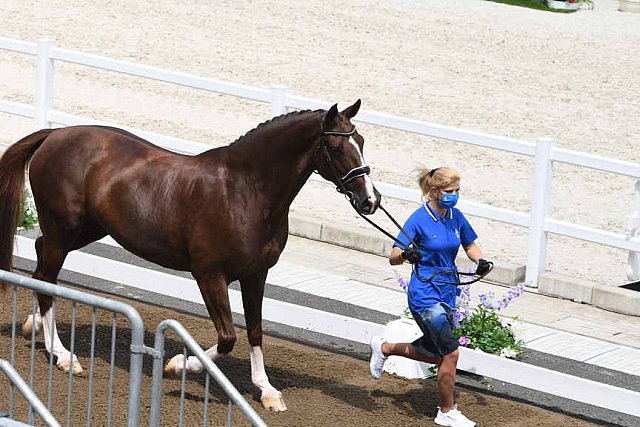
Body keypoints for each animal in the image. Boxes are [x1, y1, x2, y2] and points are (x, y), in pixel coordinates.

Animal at [0, 99, 380, 412]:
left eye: (361, 142)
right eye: (336, 147)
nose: (370, 201)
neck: (245, 191)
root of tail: (56, 134)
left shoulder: (256, 275)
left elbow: (255, 330)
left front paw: (268, 391)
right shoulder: (209, 275)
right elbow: (228, 337)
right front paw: (178, 365)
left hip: (85, 230)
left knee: (42, 268)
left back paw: (35, 327)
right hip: (64, 230)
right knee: (46, 278)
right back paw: (64, 356)